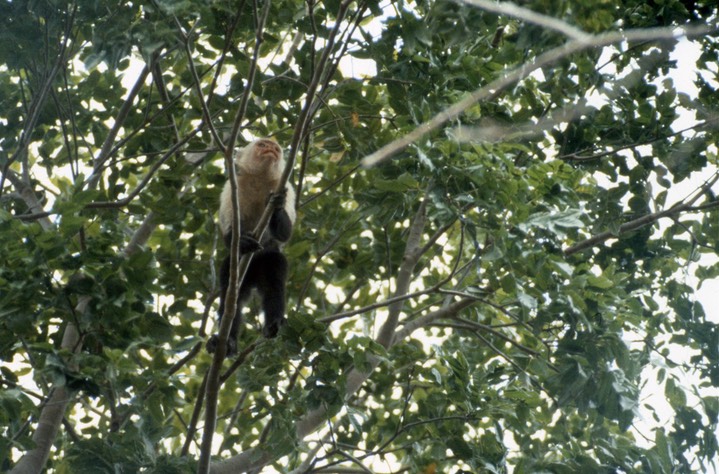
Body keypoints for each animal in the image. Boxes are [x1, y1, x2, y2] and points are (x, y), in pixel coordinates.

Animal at [207, 138, 296, 356]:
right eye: (263, 145)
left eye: (276, 148)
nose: (271, 149)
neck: (260, 179)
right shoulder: (232, 187)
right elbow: (228, 233)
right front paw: (243, 242)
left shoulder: (285, 186)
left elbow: (285, 234)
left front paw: (277, 206)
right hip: (236, 268)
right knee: (231, 296)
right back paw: (226, 342)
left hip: (270, 259)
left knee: (274, 282)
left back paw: (273, 325)